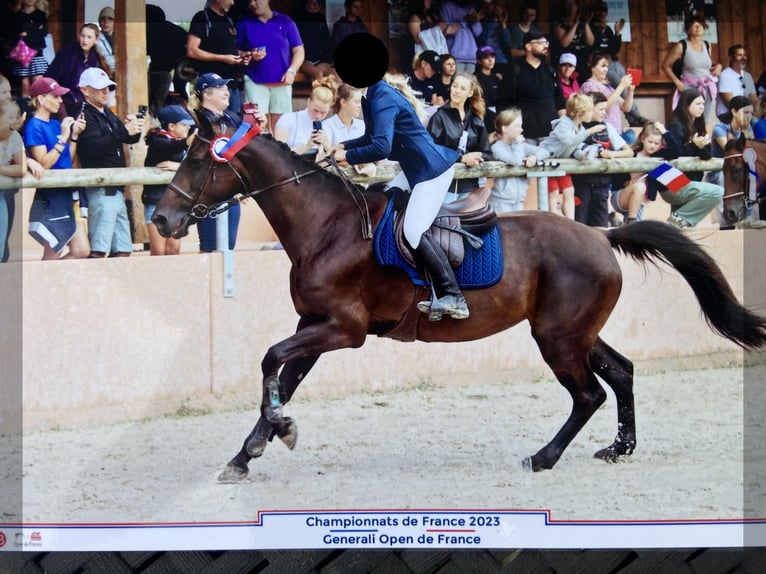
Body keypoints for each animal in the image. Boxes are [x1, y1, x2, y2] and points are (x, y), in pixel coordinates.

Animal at [152, 114, 766, 482]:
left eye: (200, 161)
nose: (161, 219)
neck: (325, 225)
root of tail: (601, 233)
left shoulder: (343, 329)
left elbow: (270, 360)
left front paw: (277, 433)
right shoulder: (314, 324)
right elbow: (283, 376)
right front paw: (248, 453)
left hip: (557, 336)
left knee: (589, 393)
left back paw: (544, 457)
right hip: (575, 330)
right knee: (621, 373)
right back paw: (620, 448)